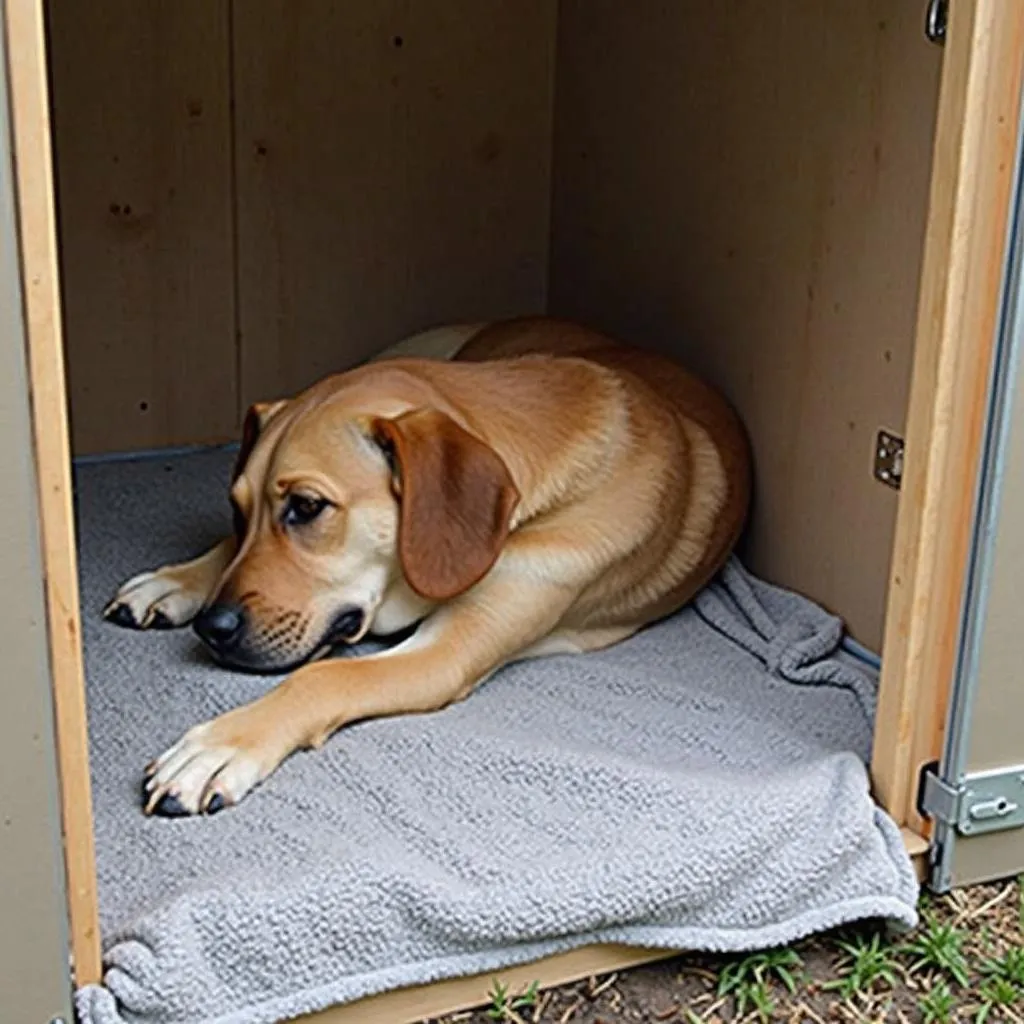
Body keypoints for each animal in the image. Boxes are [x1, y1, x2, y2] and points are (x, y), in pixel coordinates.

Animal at [105, 317, 753, 815]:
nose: (210, 628)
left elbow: (324, 676)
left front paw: (222, 746)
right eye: (237, 510)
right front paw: (181, 580)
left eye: (307, 507)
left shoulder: (452, 650)